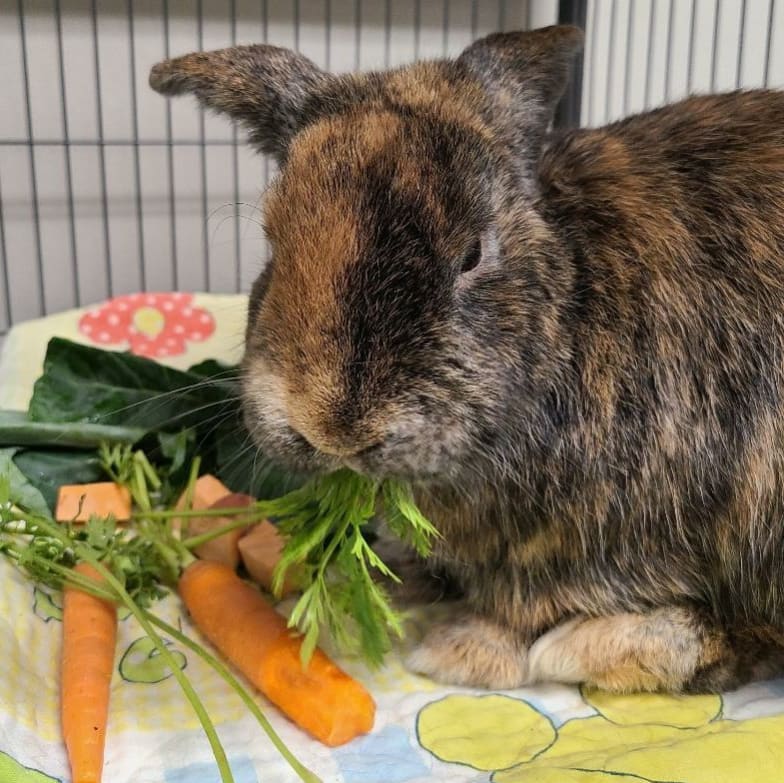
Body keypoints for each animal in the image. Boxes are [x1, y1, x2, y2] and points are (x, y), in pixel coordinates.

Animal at [149, 27, 784, 696]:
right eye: (274, 243)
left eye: (473, 254)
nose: (333, 428)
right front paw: (386, 583)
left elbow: (525, 607)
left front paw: (465, 652)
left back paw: (597, 647)